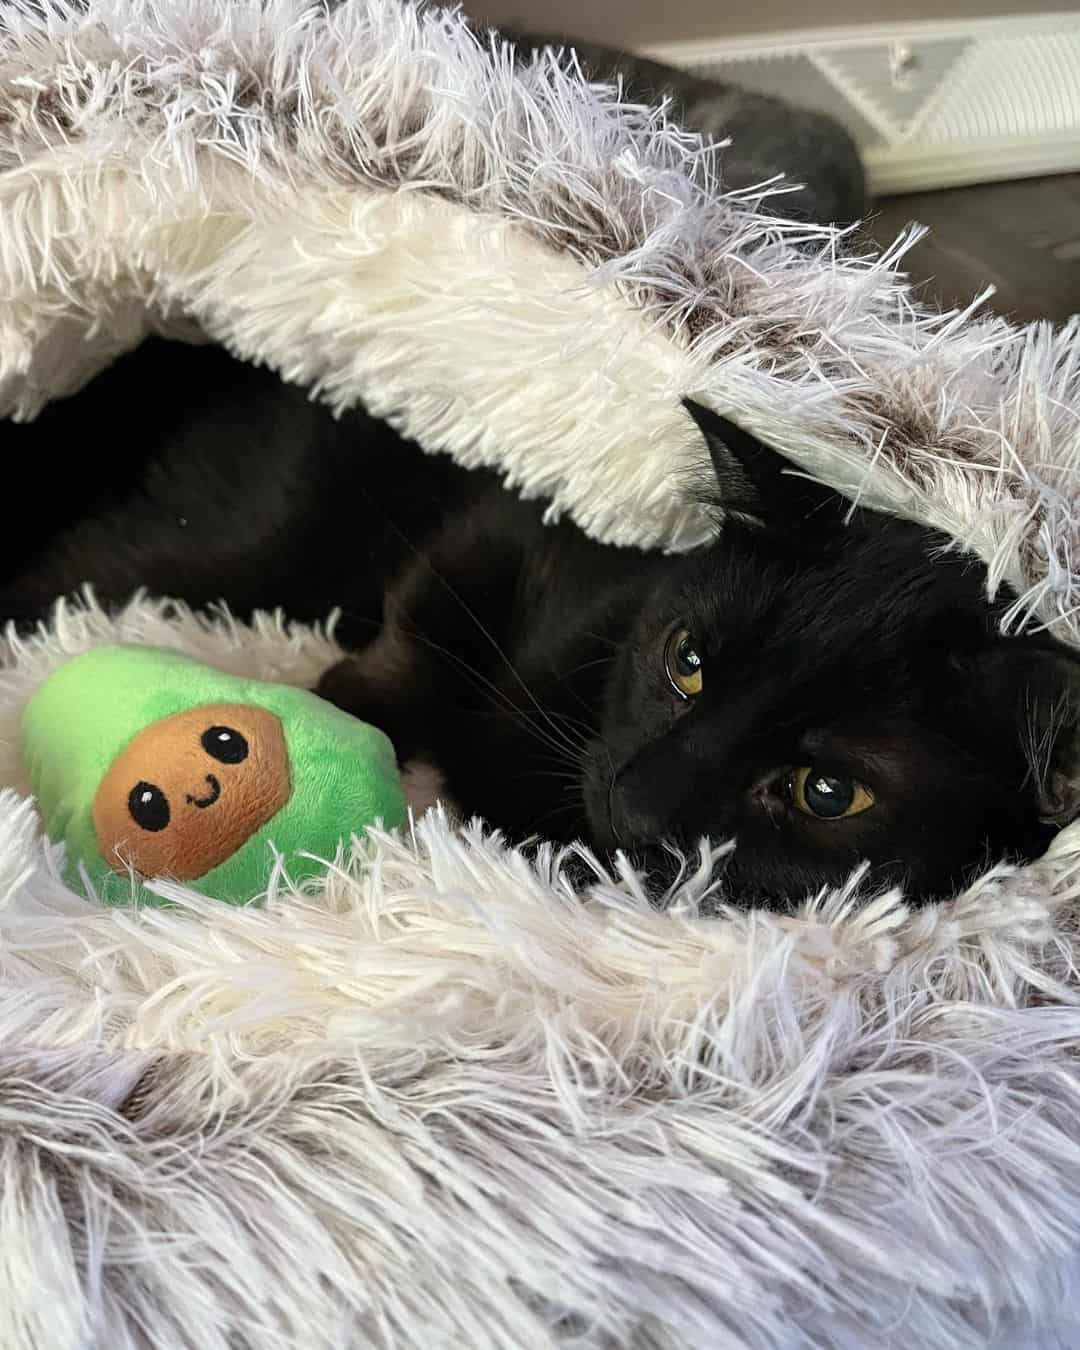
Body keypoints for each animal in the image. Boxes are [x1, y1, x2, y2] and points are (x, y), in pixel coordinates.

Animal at [4, 342, 1074, 901]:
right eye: (687, 661)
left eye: (826, 792)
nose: (637, 798)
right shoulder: (513, 520)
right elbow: (416, 635)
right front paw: (347, 708)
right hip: (234, 547)